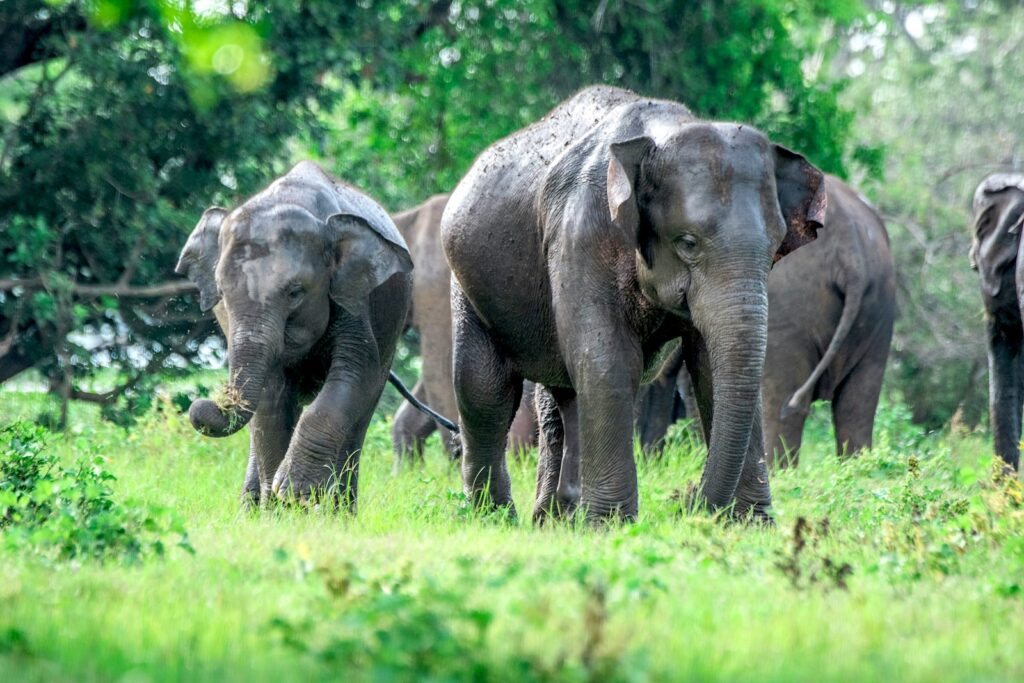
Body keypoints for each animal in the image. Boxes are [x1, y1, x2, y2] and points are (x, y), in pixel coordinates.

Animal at [176, 161, 430, 509]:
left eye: (296, 292)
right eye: (222, 294)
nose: (202, 404)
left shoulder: (353, 297)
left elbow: (356, 373)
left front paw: (297, 493)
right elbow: (271, 398)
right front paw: (281, 507)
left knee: (362, 410)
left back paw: (339, 511)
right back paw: (254, 509)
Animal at [441, 86, 826, 523]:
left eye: (775, 247)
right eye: (688, 242)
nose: (688, 504)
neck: (662, 132)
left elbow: (709, 367)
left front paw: (751, 525)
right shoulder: (580, 233)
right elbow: (608, 360)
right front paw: (612, 525)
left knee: (560, 394)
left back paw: (555, 520)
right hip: (467, 284)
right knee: (484, 390)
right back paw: (496, 518)